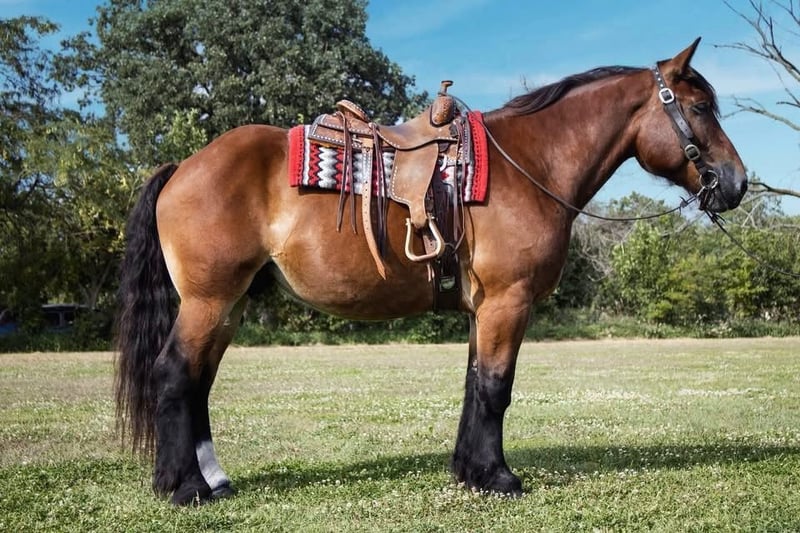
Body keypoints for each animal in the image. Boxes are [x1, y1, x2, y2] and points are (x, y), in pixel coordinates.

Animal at [115, 38, 747, 505]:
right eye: (699, 109)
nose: (737, 183)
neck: (530, 163)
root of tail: (183, 167)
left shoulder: (483, 309)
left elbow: (474, 384)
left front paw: (470, 471)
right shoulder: (508, 302)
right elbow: (495, 387)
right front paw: (498, 478)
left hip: (229, 303)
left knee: (197, 382)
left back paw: (209, 479)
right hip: (209, 301)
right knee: (174, 375)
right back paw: (185, 488)